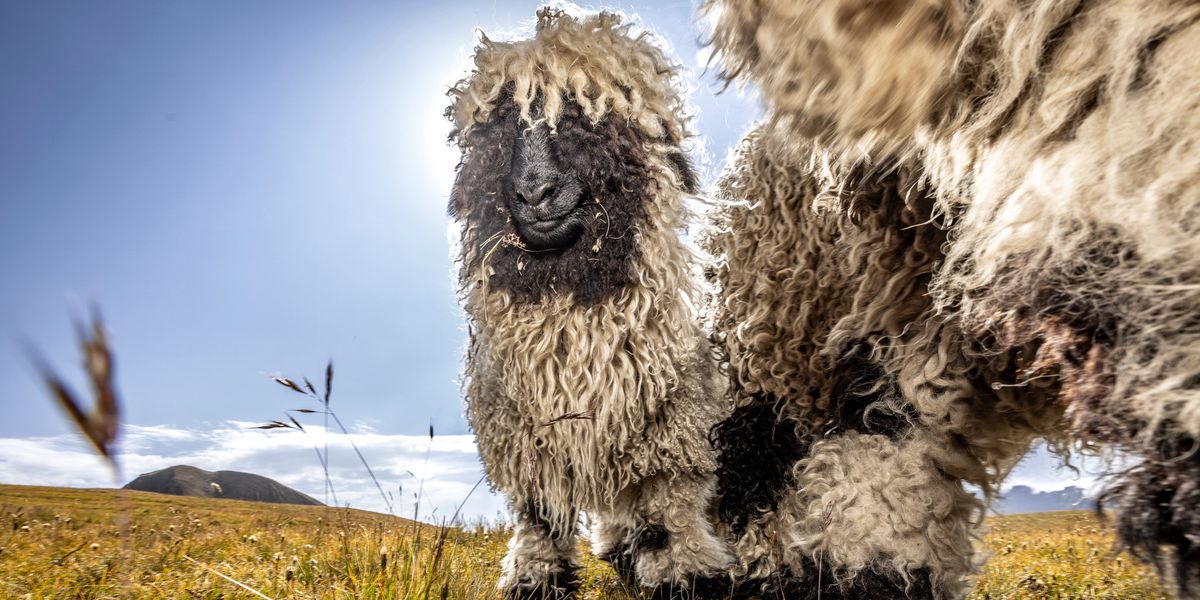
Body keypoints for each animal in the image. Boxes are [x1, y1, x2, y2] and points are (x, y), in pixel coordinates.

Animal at [446, 9, 733, 598]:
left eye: (586, 121)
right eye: (499, 128)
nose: (534, 193)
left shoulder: (670, 419)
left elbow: (666, 503)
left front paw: (684, 572)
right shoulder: (524, 430)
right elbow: (538, 512)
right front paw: (534, 575)